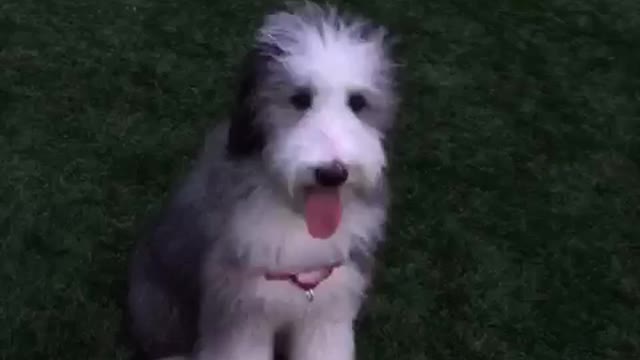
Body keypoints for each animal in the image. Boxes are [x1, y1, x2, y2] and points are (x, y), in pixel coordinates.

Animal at [127, 2, 398, 360]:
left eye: (357, 102)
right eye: (299, 99)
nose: (332, 173)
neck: (298, 218)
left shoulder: (327, 311)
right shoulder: (241, 312)